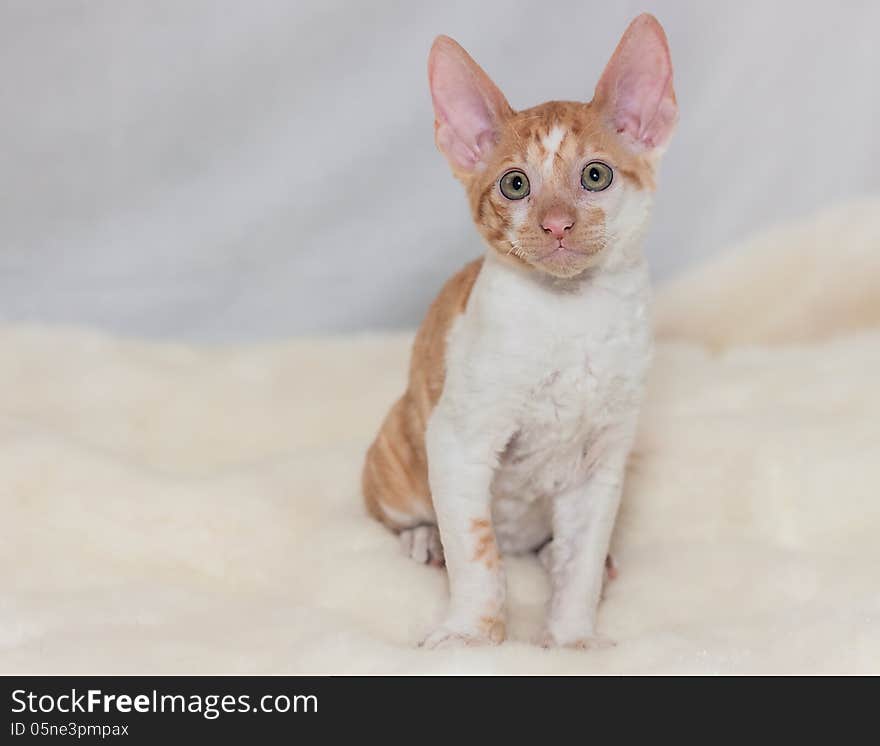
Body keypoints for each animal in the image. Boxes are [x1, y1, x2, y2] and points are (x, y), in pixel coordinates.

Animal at [360, 14, 676, 648]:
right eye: (514, 186)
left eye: (596, 176)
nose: (556, 224)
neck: (572, 315)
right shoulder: (457, 440)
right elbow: (477, 557)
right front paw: (471, 637)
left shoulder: (602, 461)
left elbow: (581, 563)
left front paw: (573, 642)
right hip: (399, 451)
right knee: (396, 513)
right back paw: (423, 538)